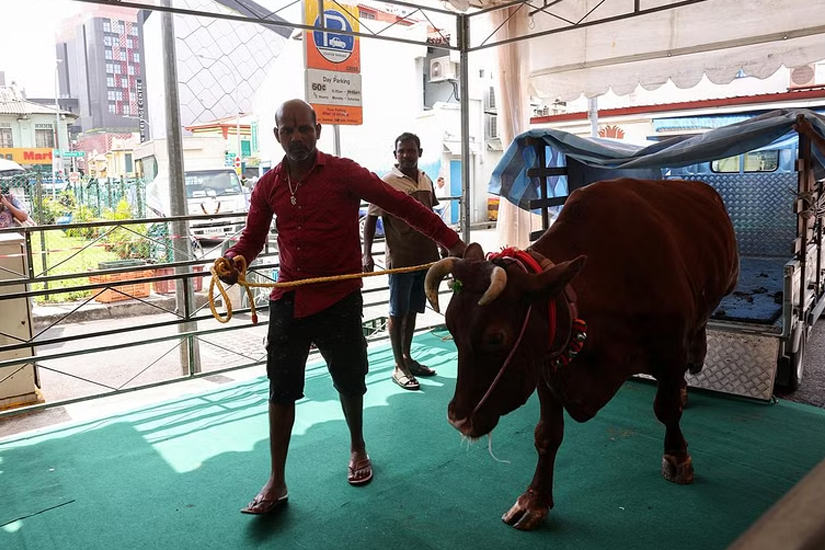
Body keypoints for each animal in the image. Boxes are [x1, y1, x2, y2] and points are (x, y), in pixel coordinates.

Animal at [428, 179, 736, 532]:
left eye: (496, 337)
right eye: (451, 327)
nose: (457, 419)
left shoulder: (670, 352)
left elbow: (667, 408)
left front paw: (677, 456)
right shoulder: (544, 368)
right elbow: (547, 435)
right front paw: (534, 500)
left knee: (698, 336)